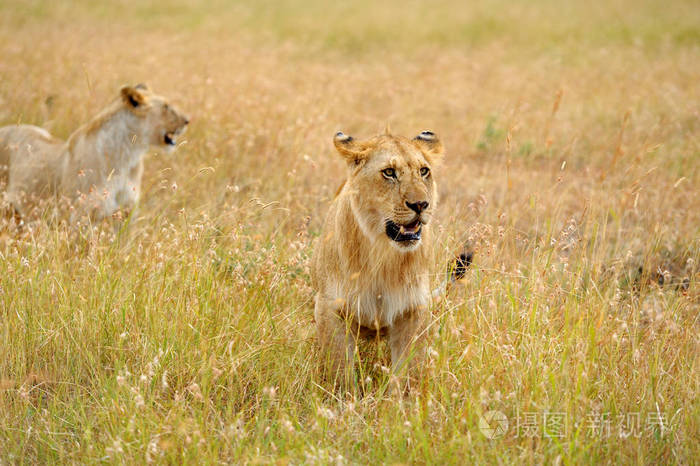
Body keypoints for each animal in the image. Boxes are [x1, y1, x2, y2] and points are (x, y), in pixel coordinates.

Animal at [314, 127, 446, 390]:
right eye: (389, 173)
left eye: (423, 171)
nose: (421, 204)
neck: (383, 258)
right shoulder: (329, 309)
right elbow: (340, 371)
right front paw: (343, 399)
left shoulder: (413, 310)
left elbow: (407, 375)